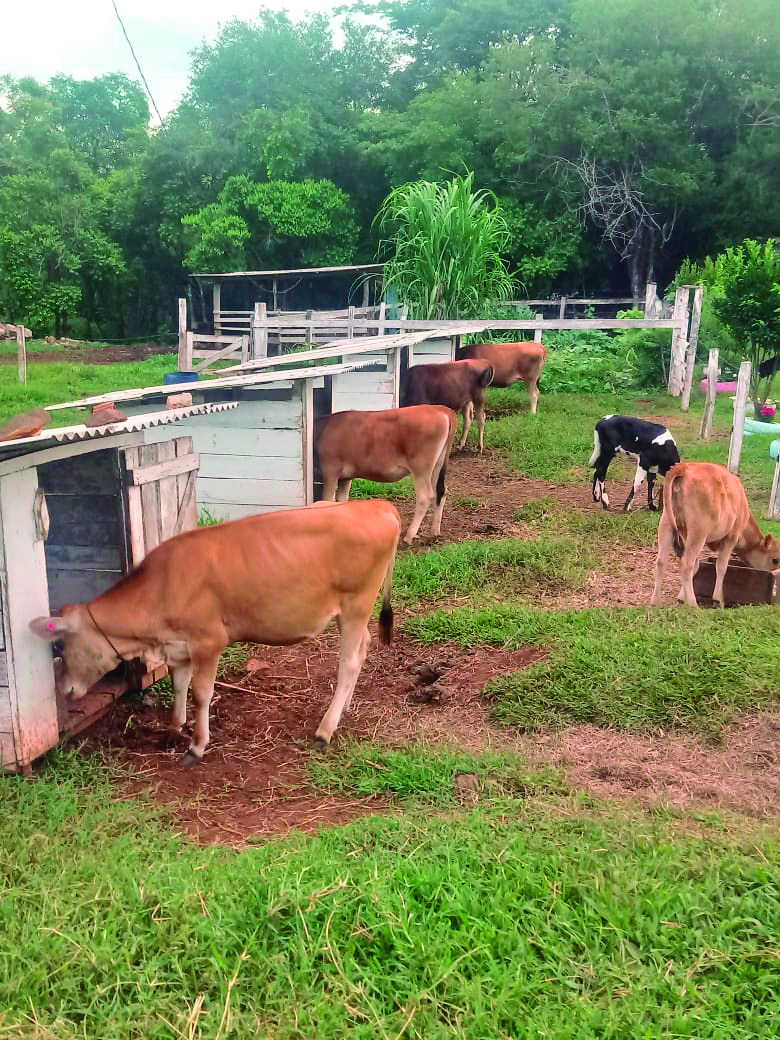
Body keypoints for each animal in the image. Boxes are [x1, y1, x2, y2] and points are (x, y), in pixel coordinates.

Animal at [28, 499, 403, 761]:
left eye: (61, 646)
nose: (65, 690)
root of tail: (375, 505)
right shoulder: (178, 645)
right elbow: (179, 685)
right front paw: (174, 727)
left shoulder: (208, 641)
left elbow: (200, 693)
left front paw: (196, 746)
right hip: (351, 612)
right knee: (364, 646)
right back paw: (344, 708)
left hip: (357, 603)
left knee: (348, 662)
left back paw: (325, 729)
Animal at [314, 403, 455, 544]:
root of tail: (441, 409)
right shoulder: (345, 477)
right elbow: (341, 501)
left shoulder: (330, 470)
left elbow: (327, 500)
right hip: (438, 464)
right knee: (441, 491)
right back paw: (434, 532)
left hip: (421, 468)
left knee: (425, 496)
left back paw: (408, 536)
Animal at [648, 463, 780, 607]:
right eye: (775, 560)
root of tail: (683, 467)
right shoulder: (731, 538)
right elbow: (721, 566)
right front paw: (718, 599)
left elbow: (697, 566)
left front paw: (682, 597)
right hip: (698, 531)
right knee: (686, 565)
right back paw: (693, 604)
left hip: (666, 524)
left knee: (661, 562)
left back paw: (655, 601)